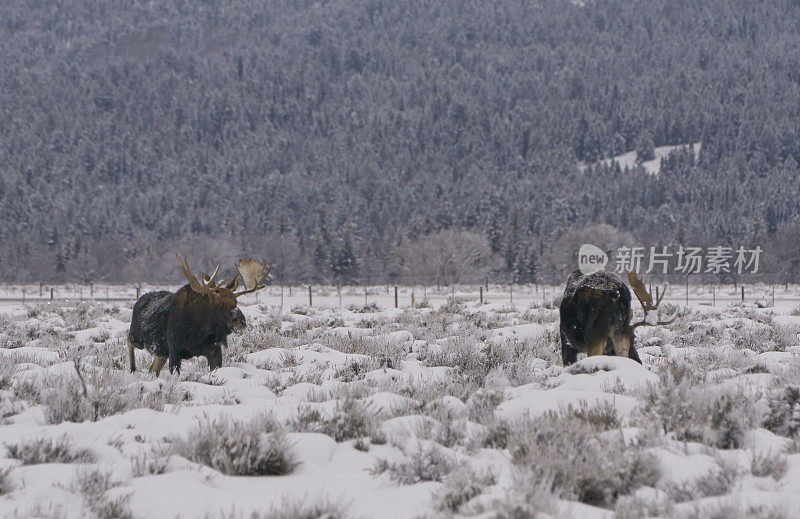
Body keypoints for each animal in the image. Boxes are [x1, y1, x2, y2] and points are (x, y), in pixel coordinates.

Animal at [127, 255, 272, 374]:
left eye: (236, 301)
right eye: (221, 303)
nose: (241, 321)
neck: (200, 330)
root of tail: (139, 299)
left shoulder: (214, 350)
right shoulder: (174, 350)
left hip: (161, 352)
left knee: (153, 369)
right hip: (138, 338)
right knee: (128, 337)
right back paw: (132, 368)